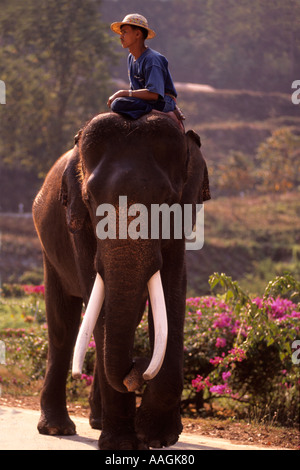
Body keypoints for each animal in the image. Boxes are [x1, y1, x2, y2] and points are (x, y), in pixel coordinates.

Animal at [32, 111, 211, 452]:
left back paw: (96, 421)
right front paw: (124, 444)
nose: (136, 368)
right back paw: (57, 428)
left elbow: (172, 291)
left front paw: (157, 437)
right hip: (50, 249)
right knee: (63, 325)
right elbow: (96, 298)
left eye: (167, 200)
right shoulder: (79, 227)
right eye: (90, 199)